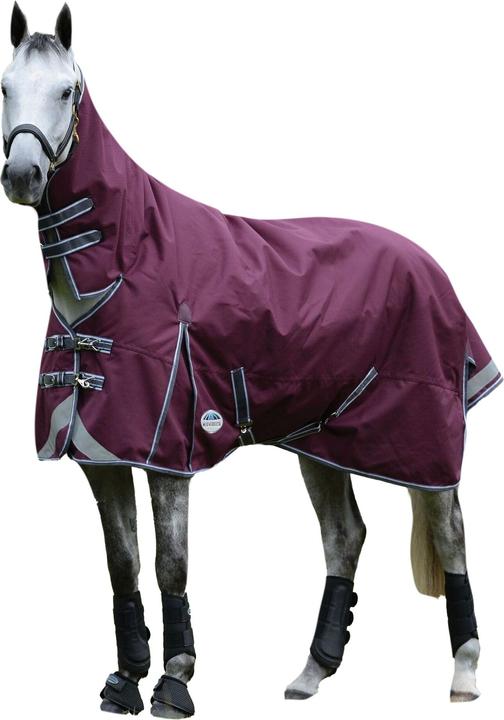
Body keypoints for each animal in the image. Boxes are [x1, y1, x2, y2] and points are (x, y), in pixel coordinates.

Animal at [2, 3, 499, 716]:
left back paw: (463, 672)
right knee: (345, 535)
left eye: (67, 91)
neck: (126, 264)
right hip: (322, 441)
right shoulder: (103, 454)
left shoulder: (167, 449)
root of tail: (427, 264)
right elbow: (123, 563)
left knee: (450, 530)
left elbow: (170, 562)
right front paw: (124, 680)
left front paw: (174, 680)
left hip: (421, 439)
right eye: (6, 87)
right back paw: (312, 671)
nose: (22, 177)